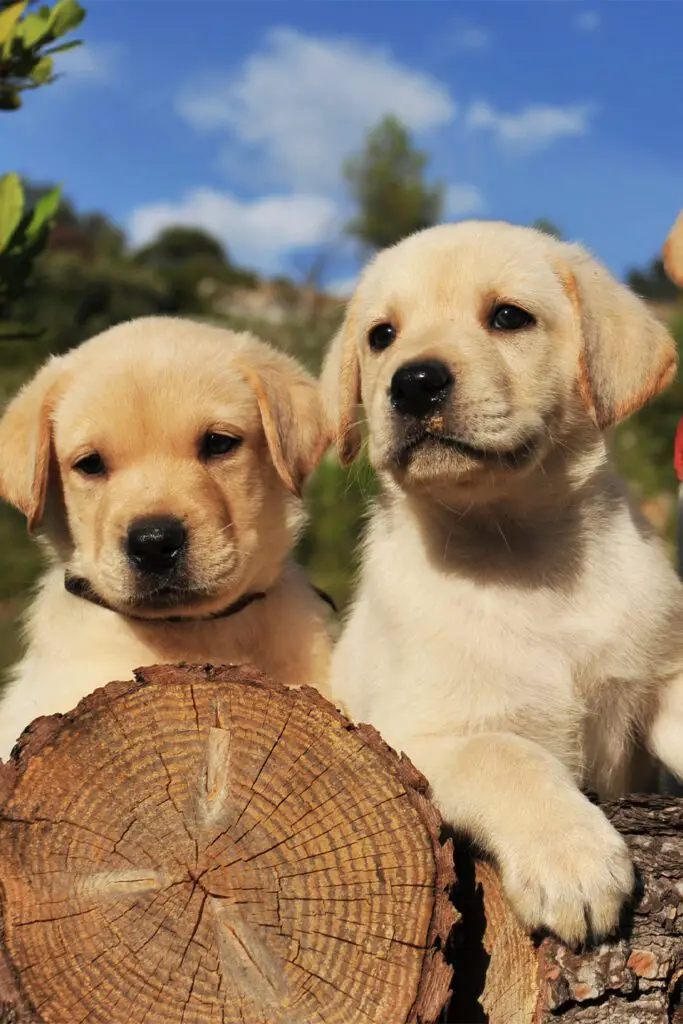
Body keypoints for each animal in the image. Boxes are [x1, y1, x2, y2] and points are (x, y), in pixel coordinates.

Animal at [321, 222, 683, 942]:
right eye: (381, 335)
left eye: (509, 317)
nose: (414, 383)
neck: (523, 557)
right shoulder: (413, 735)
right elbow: (507, 754)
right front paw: (572, 860)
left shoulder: (662, 675)